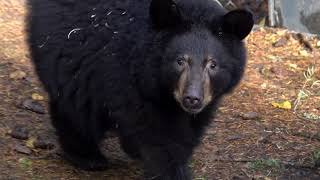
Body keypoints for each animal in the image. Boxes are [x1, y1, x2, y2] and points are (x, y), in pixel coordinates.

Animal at [26, 0, 252, 179]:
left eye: (213, 64)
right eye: (179, 61)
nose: (192, 98)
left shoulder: (207, 100)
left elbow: (190, 130)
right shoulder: (128, 78)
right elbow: (160, 137)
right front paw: (170, 171)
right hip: (67, 49)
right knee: (76, 105)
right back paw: (87, 156)